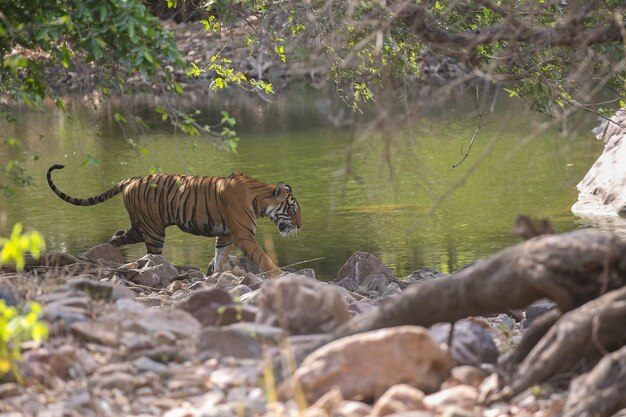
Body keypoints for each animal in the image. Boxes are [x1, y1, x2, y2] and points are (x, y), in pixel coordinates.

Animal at [46, 163, 300, 276]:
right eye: (293, 209)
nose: (300, 225)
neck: (260, 200)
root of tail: (131, 179)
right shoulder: (243, 234)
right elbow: (262, 257)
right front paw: (279, 274)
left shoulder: (226, 234)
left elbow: (220, 257)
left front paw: (217, 276)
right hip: (153, 230)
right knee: (151, 255)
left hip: (140, 226)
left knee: (117, 236)